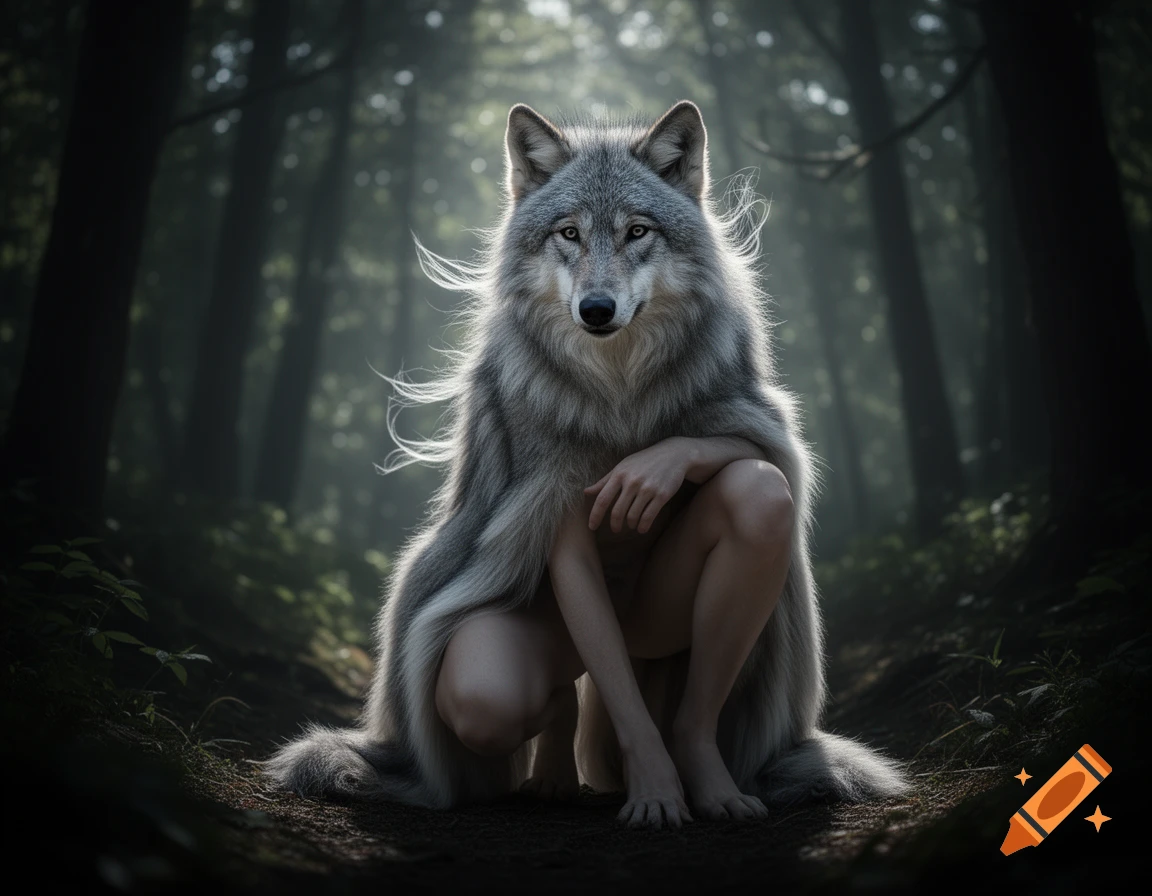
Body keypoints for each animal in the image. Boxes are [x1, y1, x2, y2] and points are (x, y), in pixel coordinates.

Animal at [265, 100, 908, 815]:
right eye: (569, 233)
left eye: (636, 232)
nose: (596, 309)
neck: (618, 389)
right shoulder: (548, 484)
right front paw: (653, 787)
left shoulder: (750, 411)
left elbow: (750, 450)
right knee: (531, 695)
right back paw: (550, 774)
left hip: (669, 630)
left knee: (753, 491)